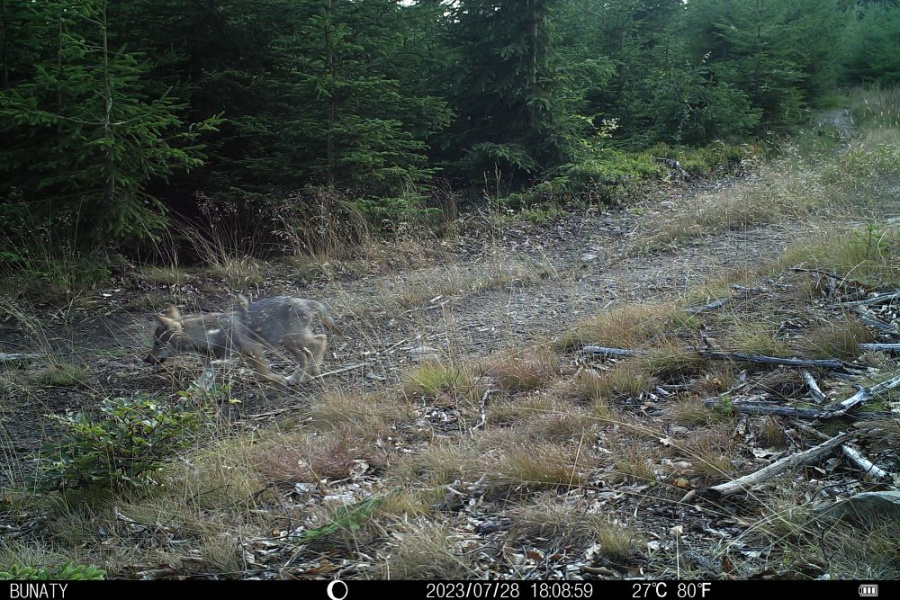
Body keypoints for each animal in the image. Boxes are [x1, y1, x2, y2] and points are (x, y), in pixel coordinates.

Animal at [146, 296, 340, 384]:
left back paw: (309, 371)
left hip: (289, 340)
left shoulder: (254, 349)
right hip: (288, 342)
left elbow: (263, 374)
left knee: (320, 340)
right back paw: (302, 375)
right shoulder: (215, 362)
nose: (145, 360)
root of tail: (305, 301)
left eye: (157, 343)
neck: (208, 334)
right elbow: (200, 384)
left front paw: (276, 379)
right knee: (310, 350)